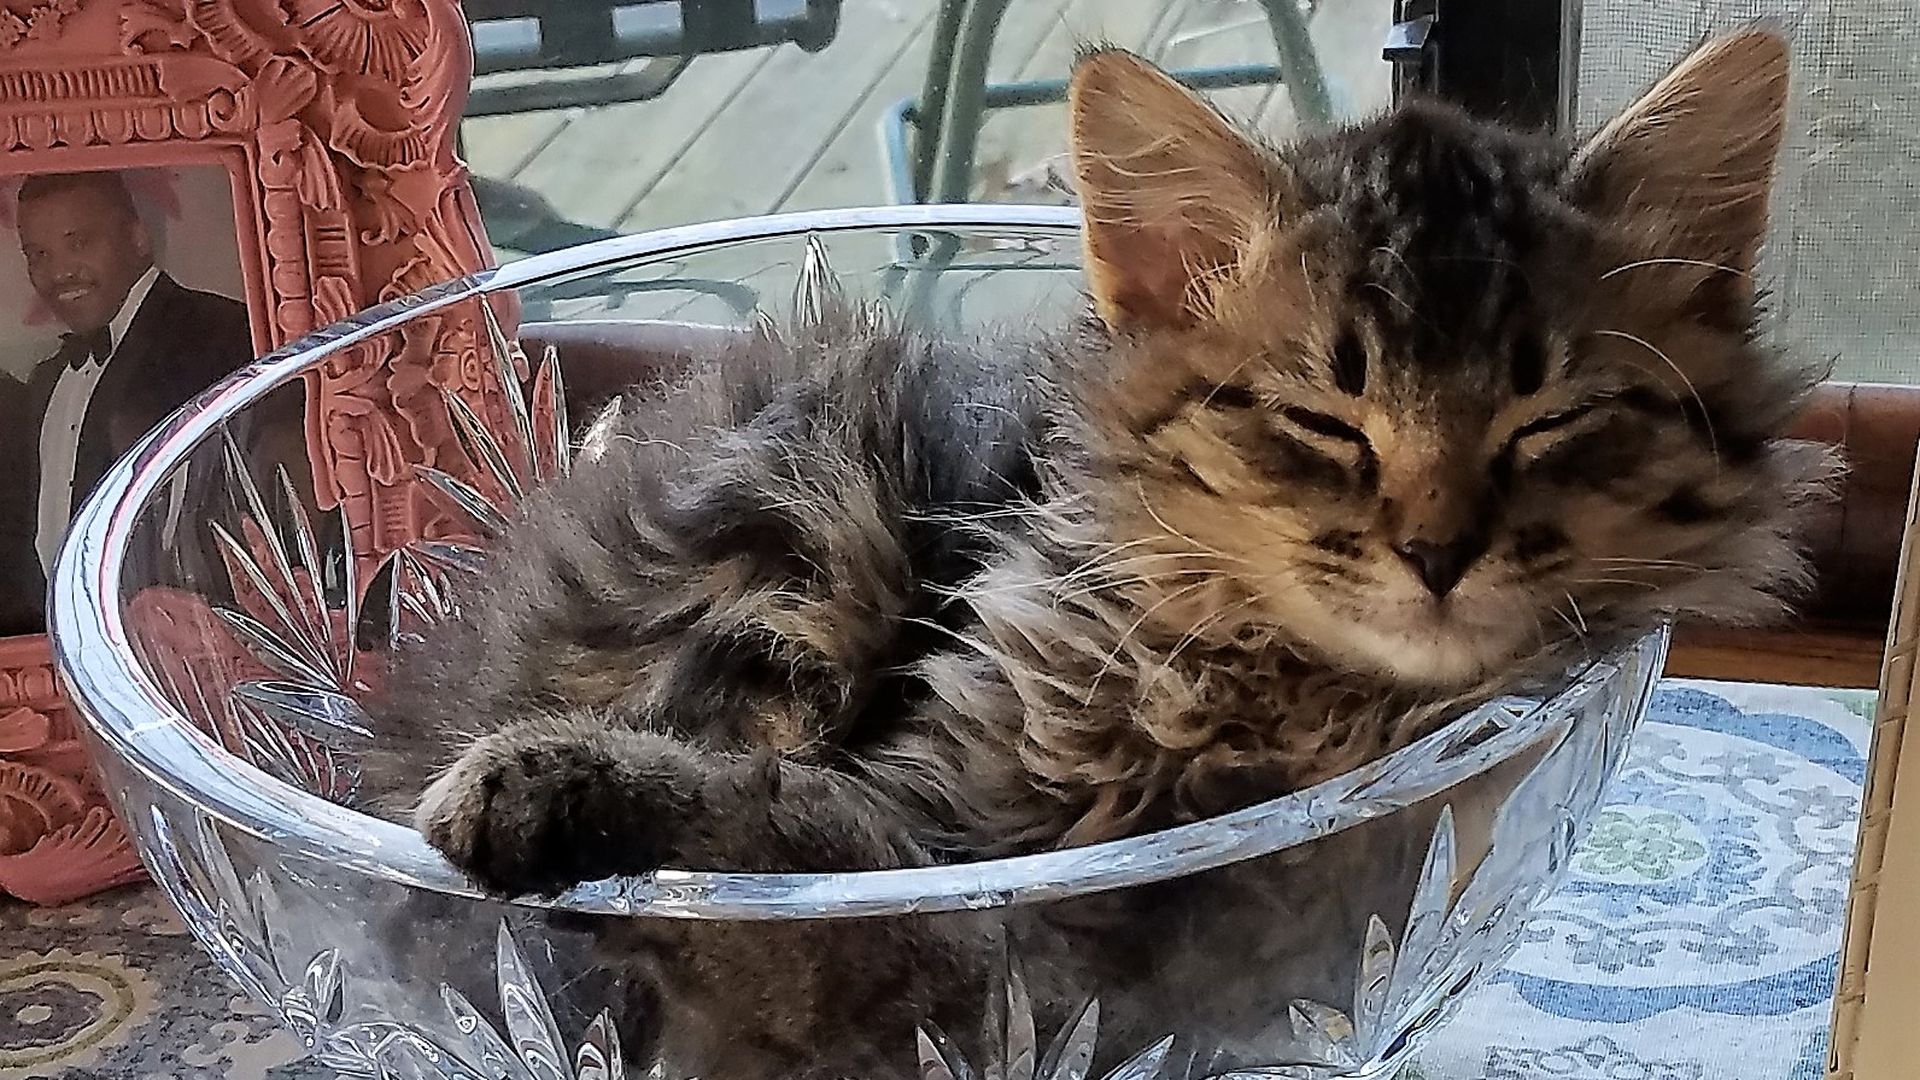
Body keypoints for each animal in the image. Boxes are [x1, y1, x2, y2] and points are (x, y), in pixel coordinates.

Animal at [357, 25, 1827, 1076]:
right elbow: (778, 841)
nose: (1437, 551)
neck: (1274, 700)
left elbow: (789, 856)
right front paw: (546, 788)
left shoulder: (1056, 945)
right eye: (1322, 420)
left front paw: (559, 796)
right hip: (810, 515)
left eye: (1549, 421)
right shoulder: (954, 841)